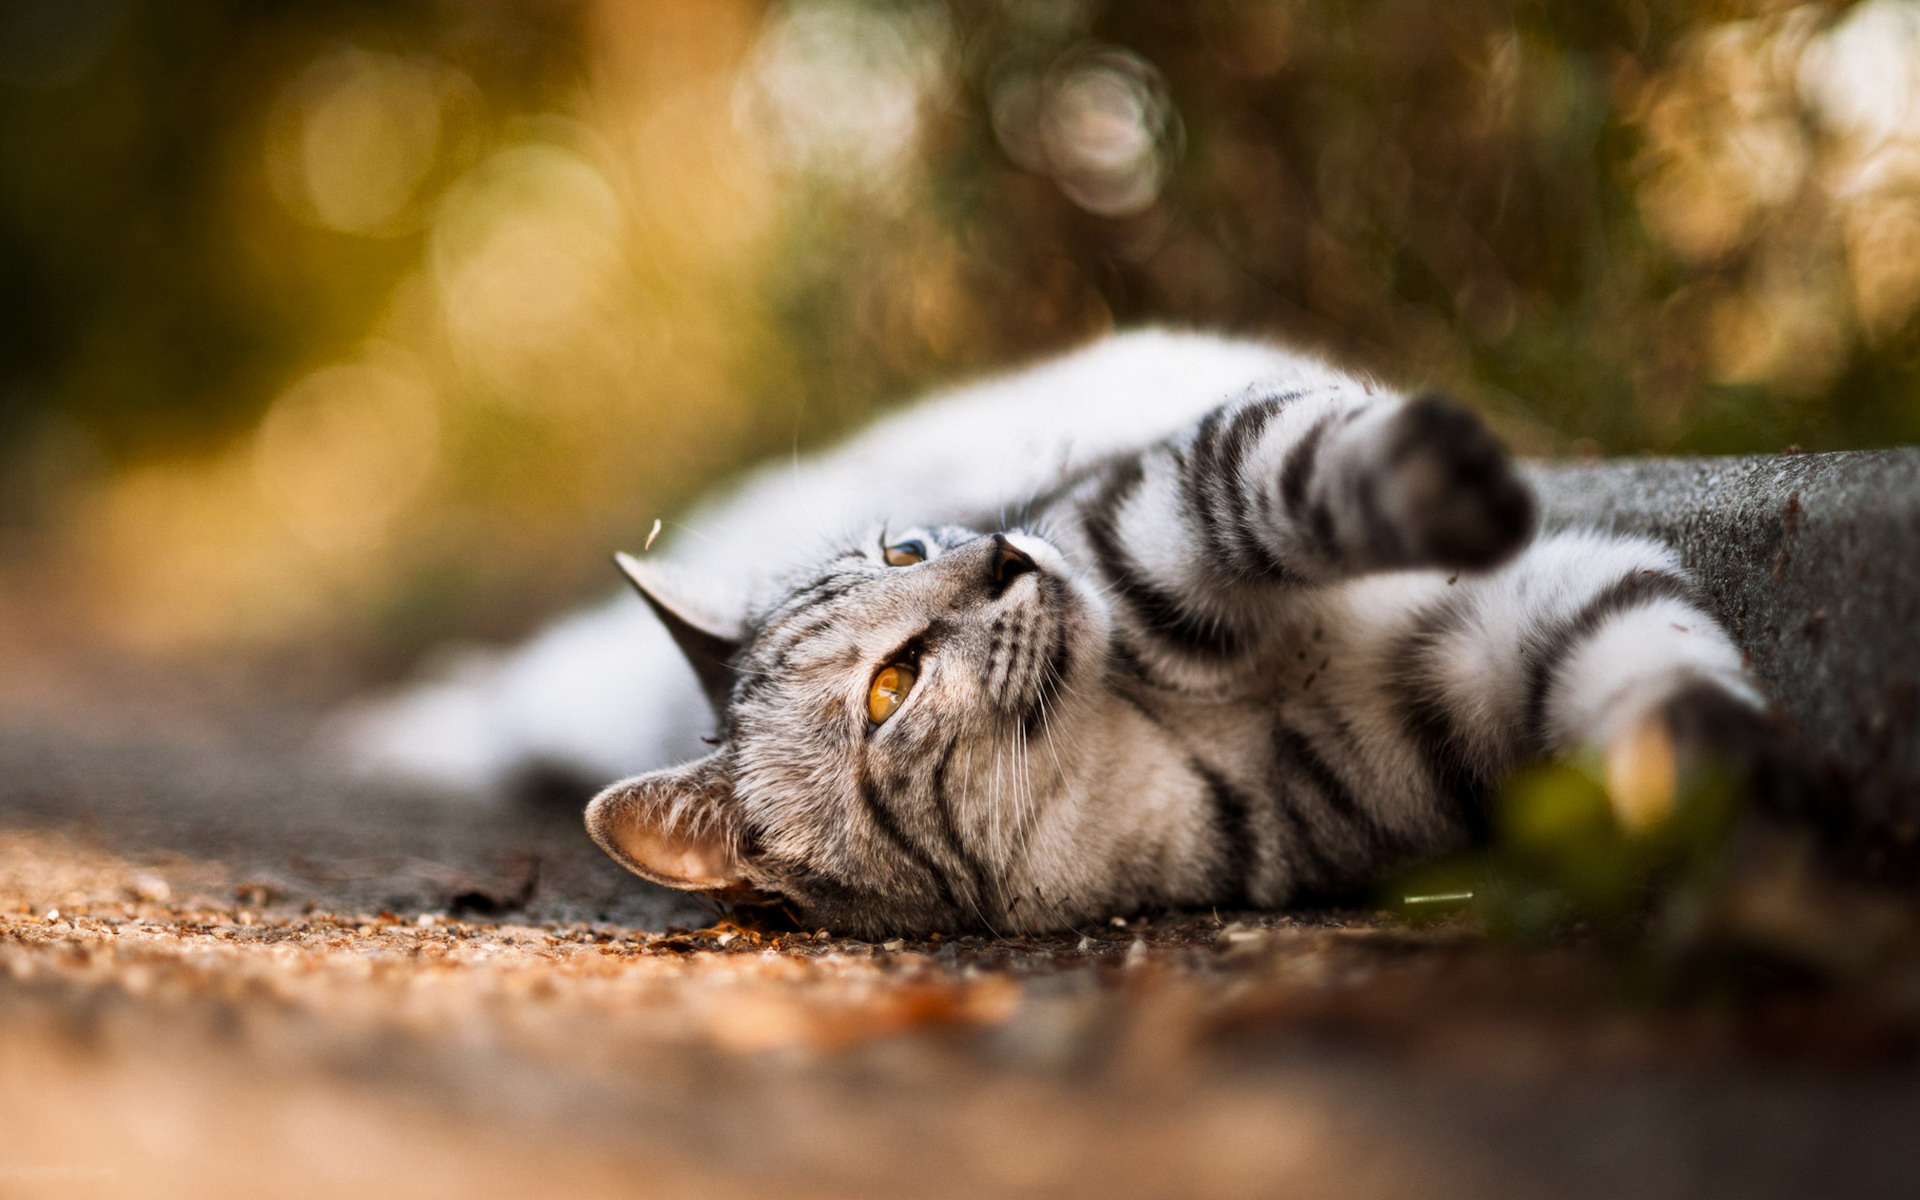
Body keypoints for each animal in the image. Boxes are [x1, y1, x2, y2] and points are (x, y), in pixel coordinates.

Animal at [552, 328, 1781, 936]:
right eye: (891, 688)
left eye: (900, 553)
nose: (1007, 555)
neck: (1153, 720)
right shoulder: (1480, 668)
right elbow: (1626, 656)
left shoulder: (1159, 497)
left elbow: (1279, 472)